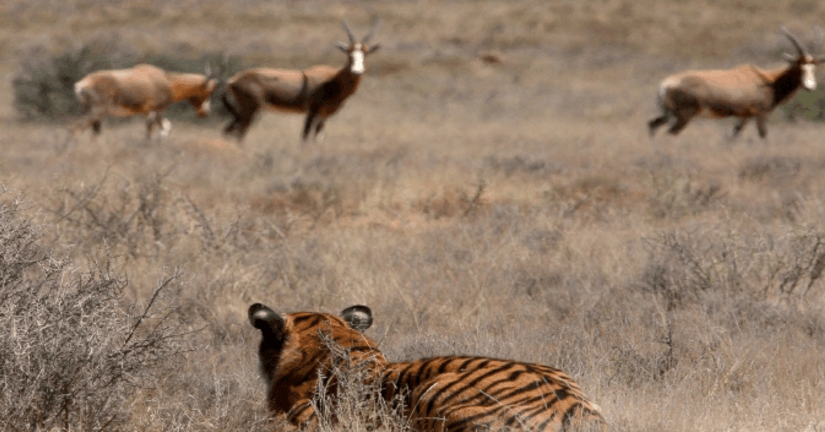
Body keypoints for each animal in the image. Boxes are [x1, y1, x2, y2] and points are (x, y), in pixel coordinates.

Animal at [73, 62, 219, 138]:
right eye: (209, 92)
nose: (204, 113)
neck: (165, 79)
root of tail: (81, 84)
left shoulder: (148, 112)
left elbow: (157, 127)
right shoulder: (159, 110)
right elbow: (160, 129)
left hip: (88, 110)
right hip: (97, 110)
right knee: (77, 128)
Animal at [224, 20, 382, 142]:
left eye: (366, 53)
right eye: (349, 53)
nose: (357, 71)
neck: (332, 79)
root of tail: (232, 80)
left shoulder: (323, 117)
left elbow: (318, 138)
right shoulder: (311, 112)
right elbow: (305, 137)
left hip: (243, 113)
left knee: (229, 131)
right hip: (250, 112)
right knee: (239, 134)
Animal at [648, 25, 820, 139]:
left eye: (813, 69)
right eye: (799, 66)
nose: (810, 86)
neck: (768, 80)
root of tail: (665, 85)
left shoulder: (744, 116)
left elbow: (733, 136)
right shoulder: (760, 114)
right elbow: (763, 135)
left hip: (668, 114)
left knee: (652, 124)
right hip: (684, 116)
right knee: (670, 133)